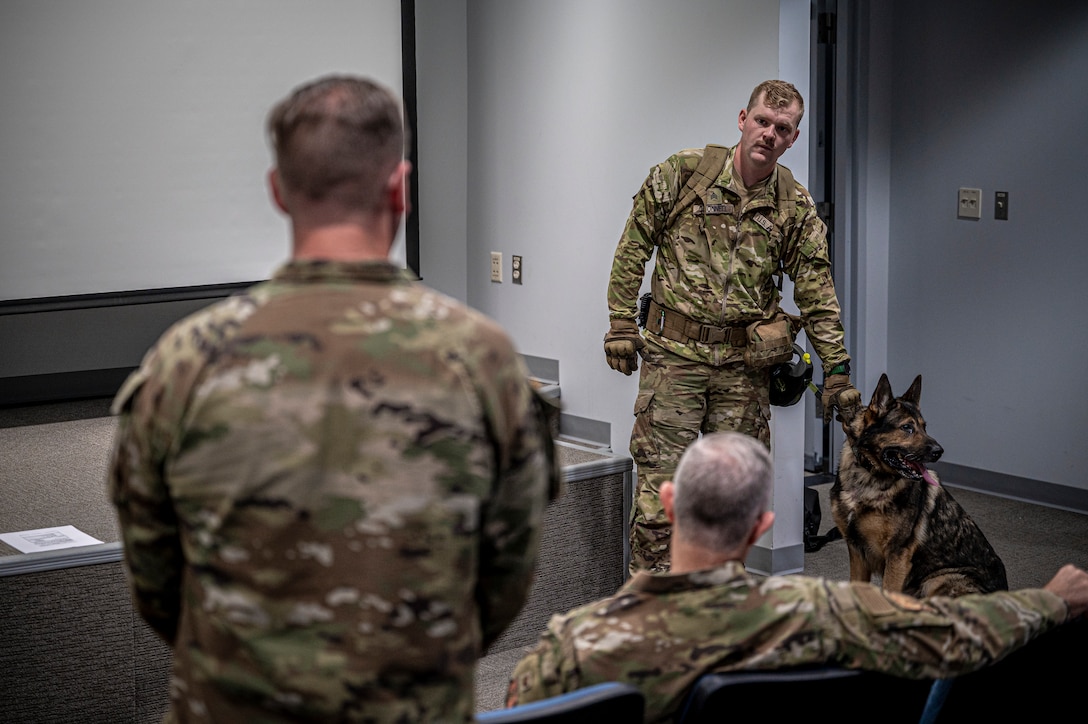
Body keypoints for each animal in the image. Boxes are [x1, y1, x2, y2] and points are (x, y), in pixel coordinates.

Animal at [826, 374, 1005, 596]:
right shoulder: (857, 552)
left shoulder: (897, 556)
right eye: (907, 428)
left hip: (937, 580)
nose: (939, 451)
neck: (868, 476)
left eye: (924, 427)